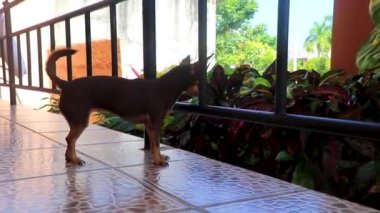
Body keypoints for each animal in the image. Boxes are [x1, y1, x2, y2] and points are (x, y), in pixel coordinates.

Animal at [45, 48, 200, 166]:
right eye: (199, 82)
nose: (200, 94)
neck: (166, 87)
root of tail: (66, 85)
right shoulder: (154, 125)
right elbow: (156, 144)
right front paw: (158, 161)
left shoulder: (149, 127)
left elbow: (153, 145)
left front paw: (158, 157)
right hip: (80, 122)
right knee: (70, 139)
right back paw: (75, 159)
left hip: (77, 122)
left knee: (69, 141)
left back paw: (69, 159)